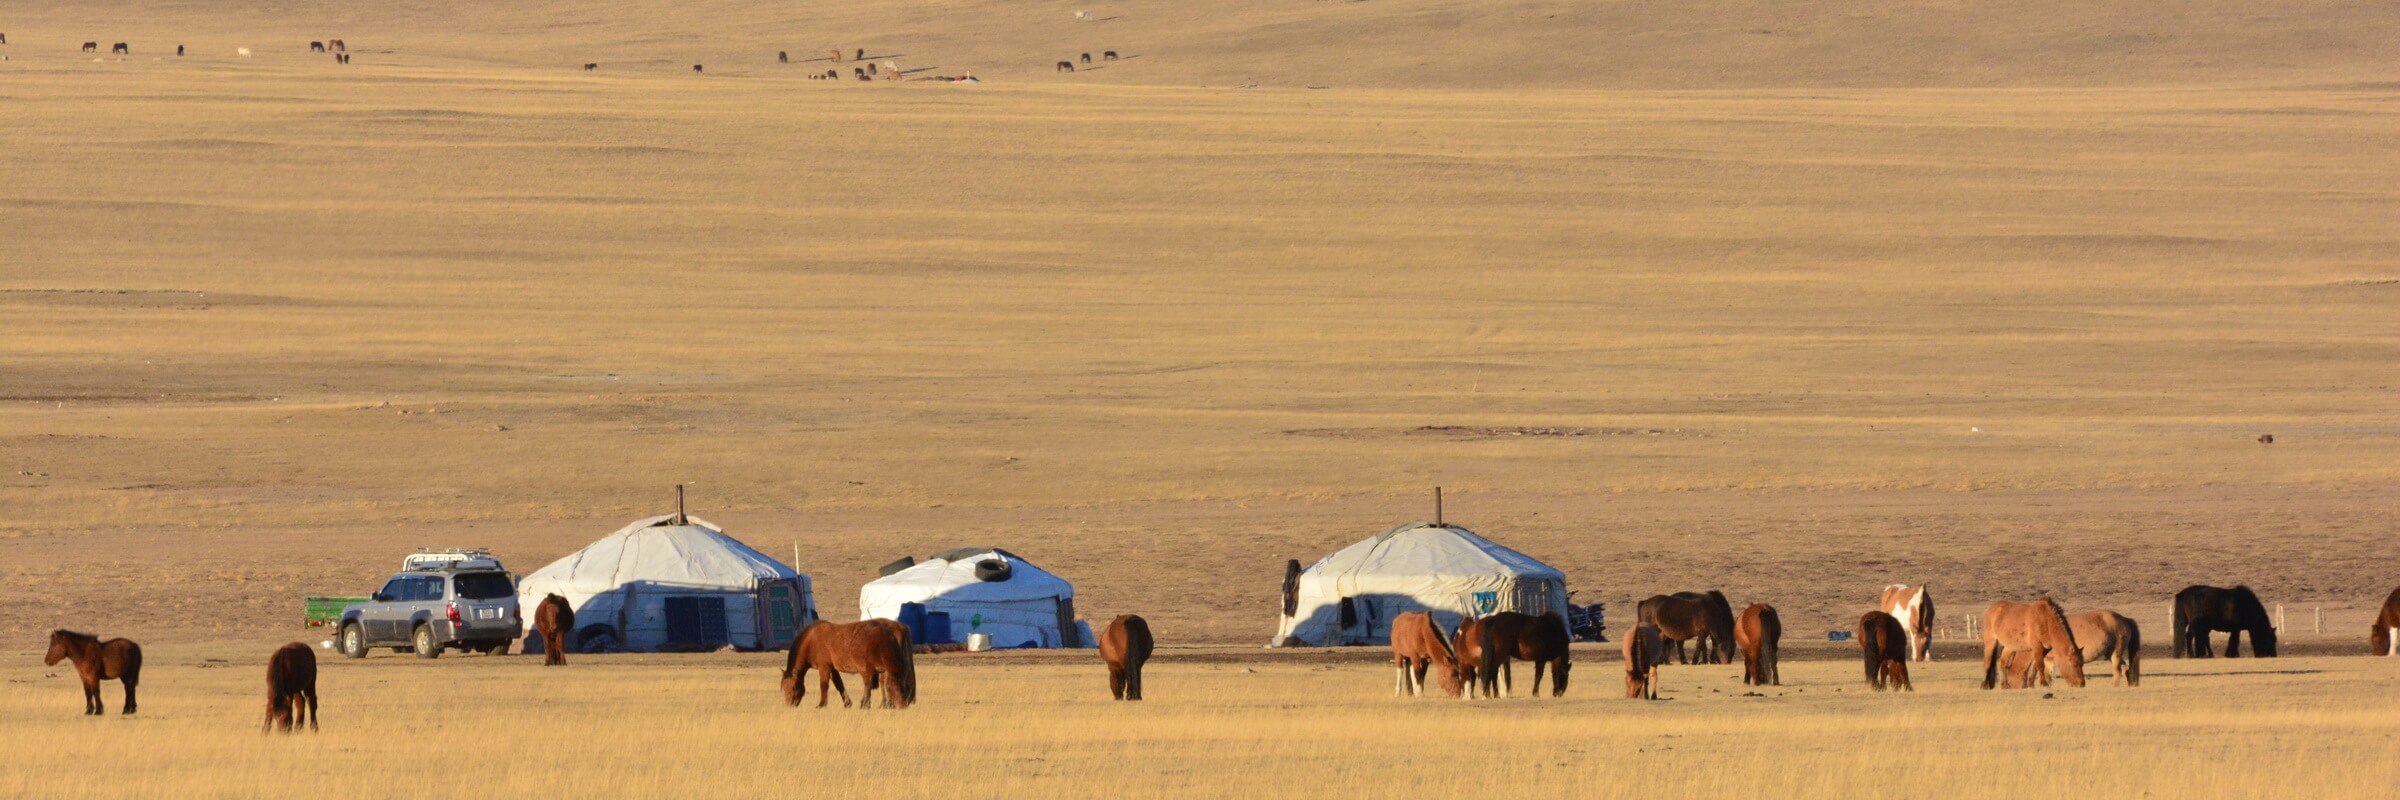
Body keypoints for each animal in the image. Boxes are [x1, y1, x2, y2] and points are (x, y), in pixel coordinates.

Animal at [782, 615, 912, 706]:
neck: (812, 641)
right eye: (783, 688)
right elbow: (839, 685)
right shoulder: (833, 669)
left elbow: (824, 685)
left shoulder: (824, 667)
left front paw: (821, 704)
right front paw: (847, 703)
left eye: (793, 687)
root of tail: (899, 628)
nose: (789, 705)